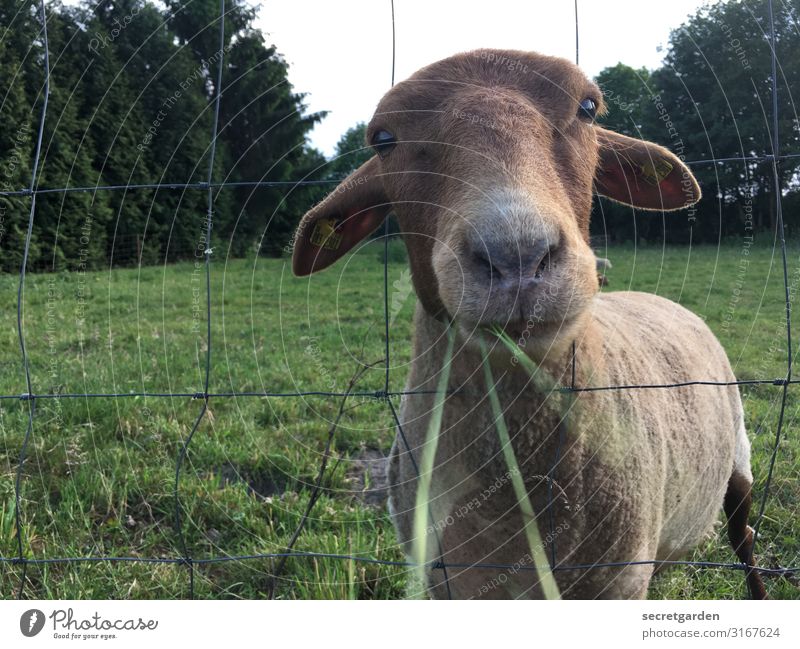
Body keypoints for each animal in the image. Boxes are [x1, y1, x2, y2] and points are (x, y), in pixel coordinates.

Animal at [290, 48, 764, 600]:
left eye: (588, 107)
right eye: (383, 139)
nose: (516, 255)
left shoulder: (618, 582)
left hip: (739, 461)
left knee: (745, 537)